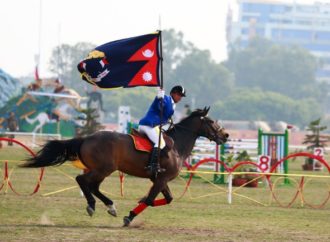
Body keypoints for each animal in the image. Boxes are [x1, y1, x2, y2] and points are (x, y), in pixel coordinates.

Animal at [20, 107, 227, 226]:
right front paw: (130, 216)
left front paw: (137, 203)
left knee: (92, 186)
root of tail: (86, 138)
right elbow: (151, 199)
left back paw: (109, 206)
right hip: (104, 169)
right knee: (83, 180)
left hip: (102, 170)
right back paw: (93, 205)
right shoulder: (161, 178)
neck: (177, 146)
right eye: (211, 121)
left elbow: (164, 199)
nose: (225, 136)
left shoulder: (159, 179)